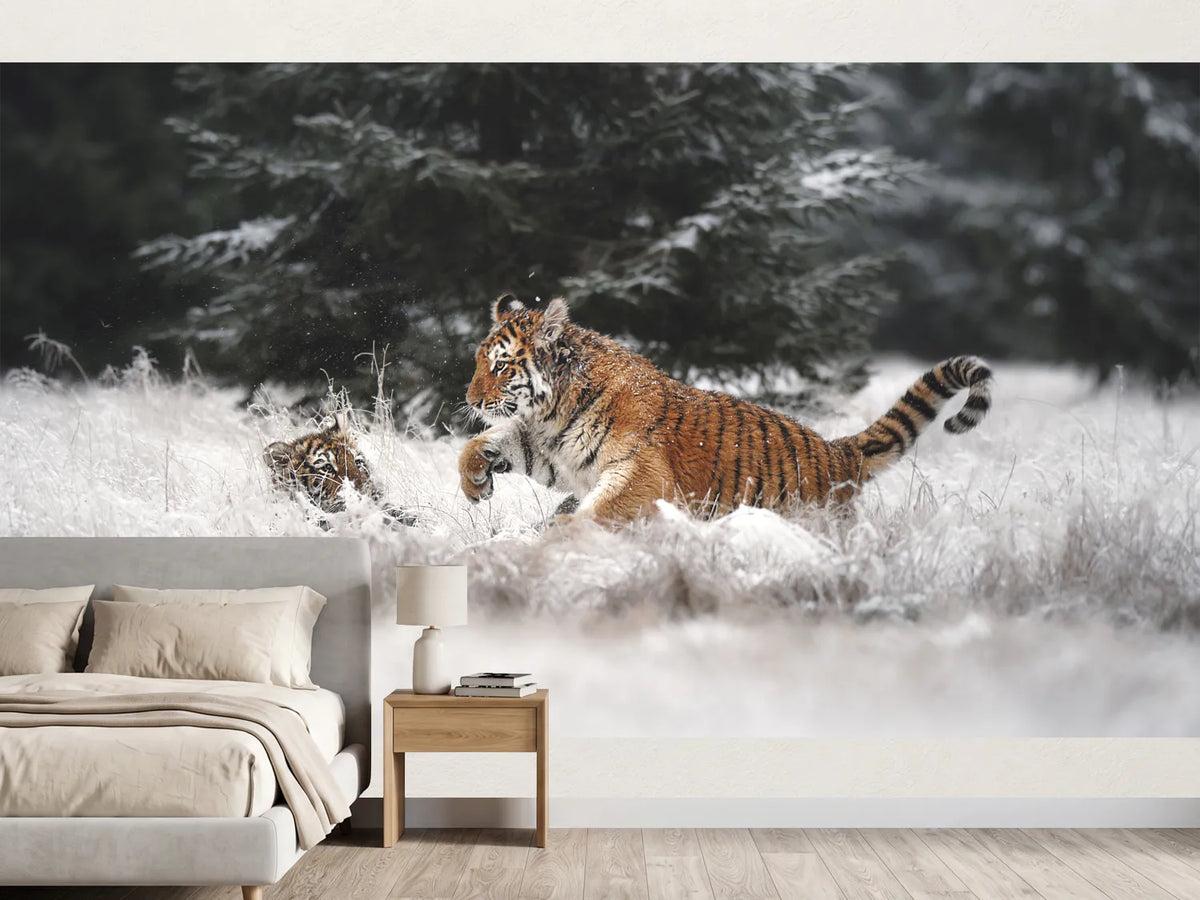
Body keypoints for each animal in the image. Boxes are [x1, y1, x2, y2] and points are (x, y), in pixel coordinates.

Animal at [459, 293, 993, 524]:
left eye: (501, 367)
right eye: (479, 361)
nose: (470, 400)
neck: (554, 409)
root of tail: (841, 452)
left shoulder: (640, 471)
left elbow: (602, 509)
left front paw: (562, 535)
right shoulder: (549, 448)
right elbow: (486, 441)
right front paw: (475, 482)